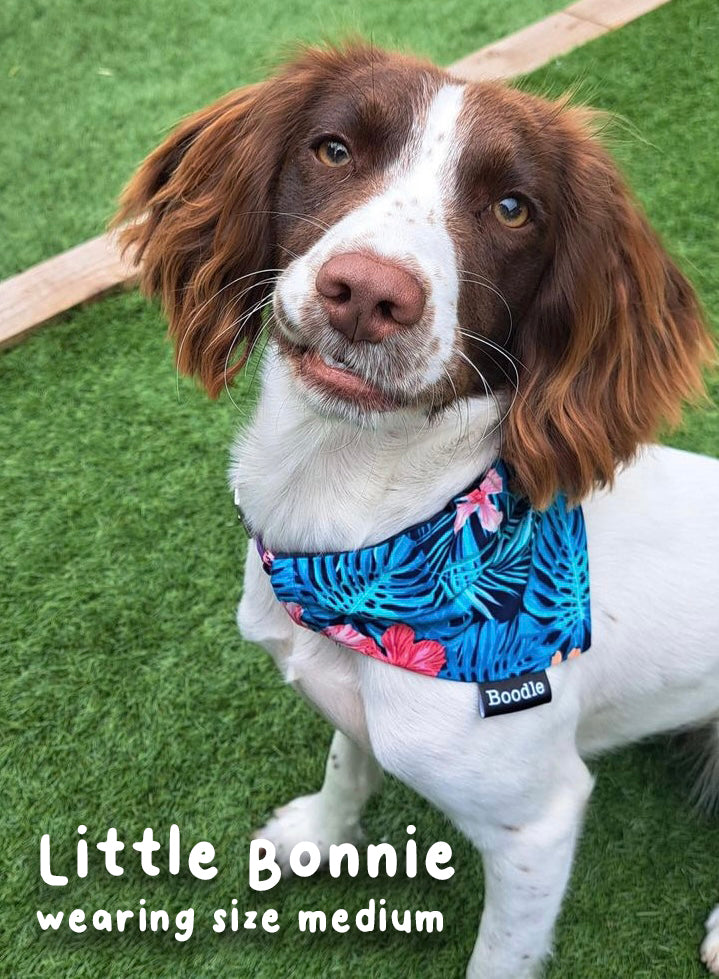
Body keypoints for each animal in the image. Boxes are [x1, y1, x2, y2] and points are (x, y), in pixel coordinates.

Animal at [118, 42, 719, 976]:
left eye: (512, 207)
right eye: (333, 150)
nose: (368, 293)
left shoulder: (537, 827)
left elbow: (499, 954)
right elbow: (347, 759)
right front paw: (318, 835)